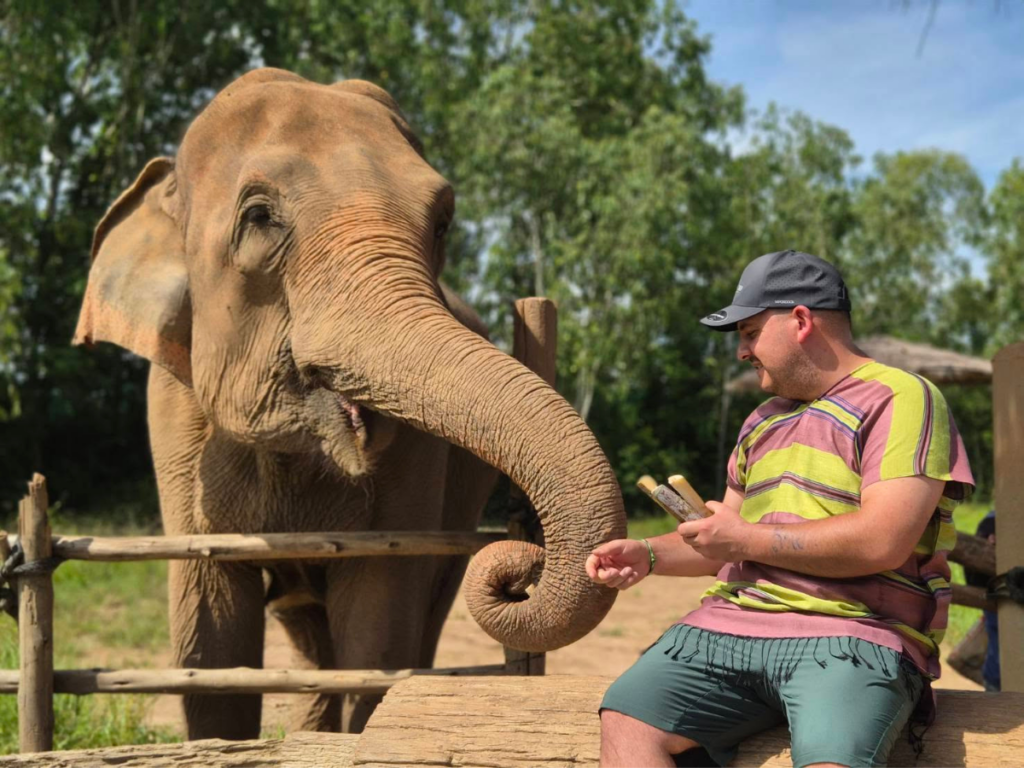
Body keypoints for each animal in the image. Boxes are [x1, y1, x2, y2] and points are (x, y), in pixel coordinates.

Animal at [73, 68, 626, 740]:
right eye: (259, 216)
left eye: (442, 221)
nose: (523, 570)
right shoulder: (175, 420)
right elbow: (211, 634)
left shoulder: (420, 455)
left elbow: (379, 626)